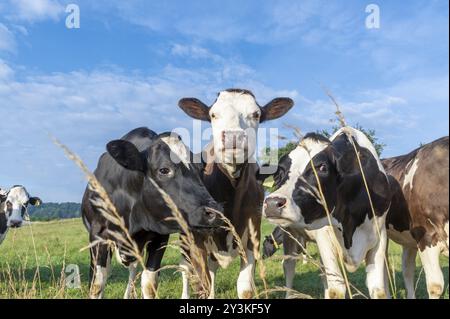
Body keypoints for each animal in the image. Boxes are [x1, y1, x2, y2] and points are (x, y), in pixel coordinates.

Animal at [82, 127, 223, 300]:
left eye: (201, 169)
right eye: (164, 170)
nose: (215, 212)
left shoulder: (159, 237)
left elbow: (149, 284)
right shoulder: (97, 236)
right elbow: (97, 284)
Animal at [179, 89, 296, 298]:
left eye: (256, 114)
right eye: (213, 114)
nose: (234, 137)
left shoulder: (252, 234)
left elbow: (245, 288)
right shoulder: (196, 240)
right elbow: (202, 283)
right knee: (186, 269)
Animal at [262, 127, 392, 300]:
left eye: (322, 167)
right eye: (278, 173)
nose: (272, 203)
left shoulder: (379, 236)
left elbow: (378, 290)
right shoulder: (325, 238)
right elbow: (336, 289)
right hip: (289, 233)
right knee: (289, 265)